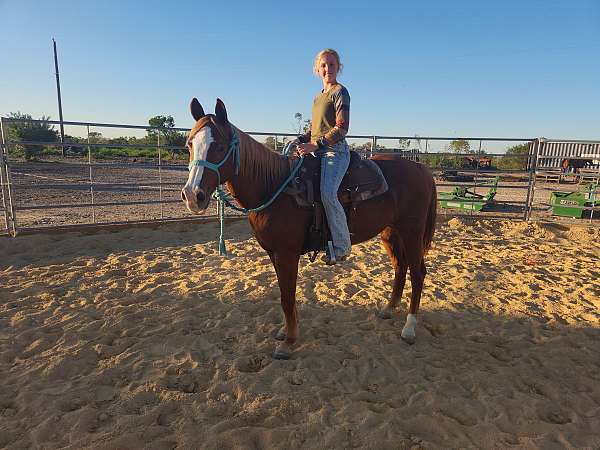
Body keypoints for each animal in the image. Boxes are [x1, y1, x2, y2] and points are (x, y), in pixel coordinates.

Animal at [180, 98, 438, 358]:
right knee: (400, 266)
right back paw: (389, 308)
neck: (275, 186)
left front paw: (288, 342)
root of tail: (421, 169)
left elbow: (287, 296)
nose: (192, 195)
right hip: (390, 233)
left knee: (418, 273)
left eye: (219, 146)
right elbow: (286, 295)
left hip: (412, 232)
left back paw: (409, 328)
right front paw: (286, 332)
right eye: (189, 144)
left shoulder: (287, 254)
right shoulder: (274, 253)